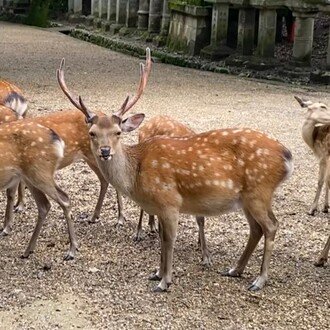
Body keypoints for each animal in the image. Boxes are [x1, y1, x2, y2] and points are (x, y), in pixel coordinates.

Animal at [0, 120, 78, 260]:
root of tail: (56, 139)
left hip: (40, 172)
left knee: (64, 200)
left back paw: (71, 251)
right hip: (31, 177)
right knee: (45, 204)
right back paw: (28, 251)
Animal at [137, 115, 211, 266]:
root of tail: (142, 129)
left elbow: (201, 219)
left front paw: (200, 244)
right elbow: (200, 219)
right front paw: (205, 256)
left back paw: (152, 225)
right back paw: (139, 232)